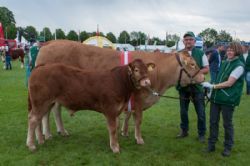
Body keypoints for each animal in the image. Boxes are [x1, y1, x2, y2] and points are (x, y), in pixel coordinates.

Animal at [35, 40, 205, 144]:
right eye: (192, 64)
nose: (203, 76)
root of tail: (51, 42)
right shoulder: (139, 99)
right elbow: (138, 120)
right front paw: (138, 139)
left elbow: (128, 115)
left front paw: (124, 132)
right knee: (46, 113)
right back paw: (47, 135)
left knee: (52, 111)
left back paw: (57, 132)